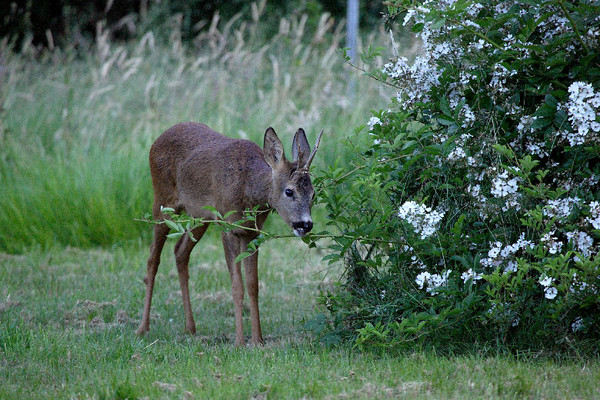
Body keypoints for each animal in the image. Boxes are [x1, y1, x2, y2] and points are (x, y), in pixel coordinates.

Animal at [137, 122, 324, 346]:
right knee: (152, 259)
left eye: (313, 193)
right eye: (289, 191)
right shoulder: (228, 227)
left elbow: (253, 285)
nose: (305, 224)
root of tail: (157, 139)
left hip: (201, 215)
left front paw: (258, 339)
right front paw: (239, 341)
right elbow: (237, 285)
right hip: (162, 201)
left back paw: (190, 327)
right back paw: (143, 328)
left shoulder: (252, 232)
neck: (247, 189)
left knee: (180, 251)